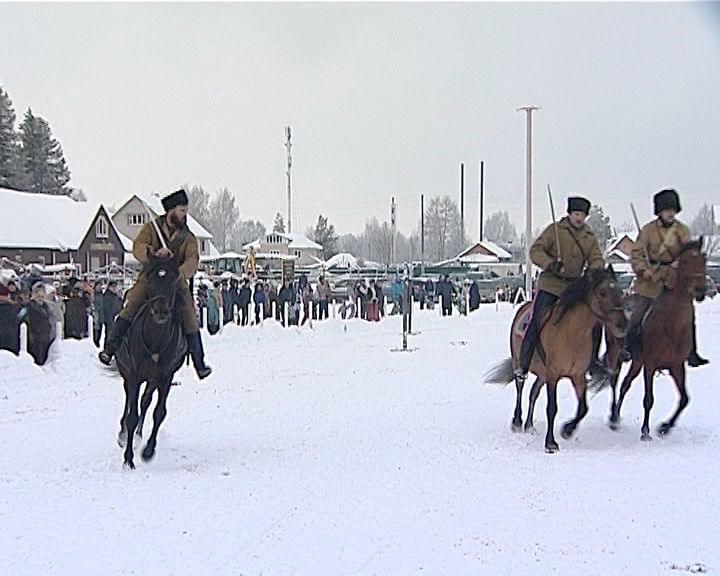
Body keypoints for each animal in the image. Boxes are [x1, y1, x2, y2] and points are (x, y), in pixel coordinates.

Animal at [116, 256, 188, 468]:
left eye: (173, 280)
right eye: (150, 281)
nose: (160, 311)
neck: (155, 339)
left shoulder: (165, 376)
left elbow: (159, 412)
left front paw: (148, 451)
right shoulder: (134, 375)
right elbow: (131, 415)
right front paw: (128, 458)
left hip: (152, 379)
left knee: (145, 402)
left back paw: (139, 435)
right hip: (128, 372)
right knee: (128, 399)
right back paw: (123, 434)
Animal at [486, 268, 628, 452]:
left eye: (620, 292)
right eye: (602, 293)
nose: (622, 324)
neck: (571, 333)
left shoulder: (577, 376)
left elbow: (583, 408)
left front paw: (567, 430)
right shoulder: (553, 376)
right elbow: (552, 408)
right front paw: (550, 443)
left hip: (542, 374)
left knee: (533, 393)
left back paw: (529, 425)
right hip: (521, 364)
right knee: (520, 388)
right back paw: (517, 422)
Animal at [604, 238, 704, 440]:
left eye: (703, 260)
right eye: (685, 262)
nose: (701, 290)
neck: (672, 325)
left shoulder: (676, 366)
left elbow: (684, 399)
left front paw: (665, 427)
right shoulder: (650, 366)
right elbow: (648, 399)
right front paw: (645, 431)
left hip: (637, 361)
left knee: (625, 384)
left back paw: (616, 417)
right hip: (615, 352)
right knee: (614, 379)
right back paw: (612, 418)